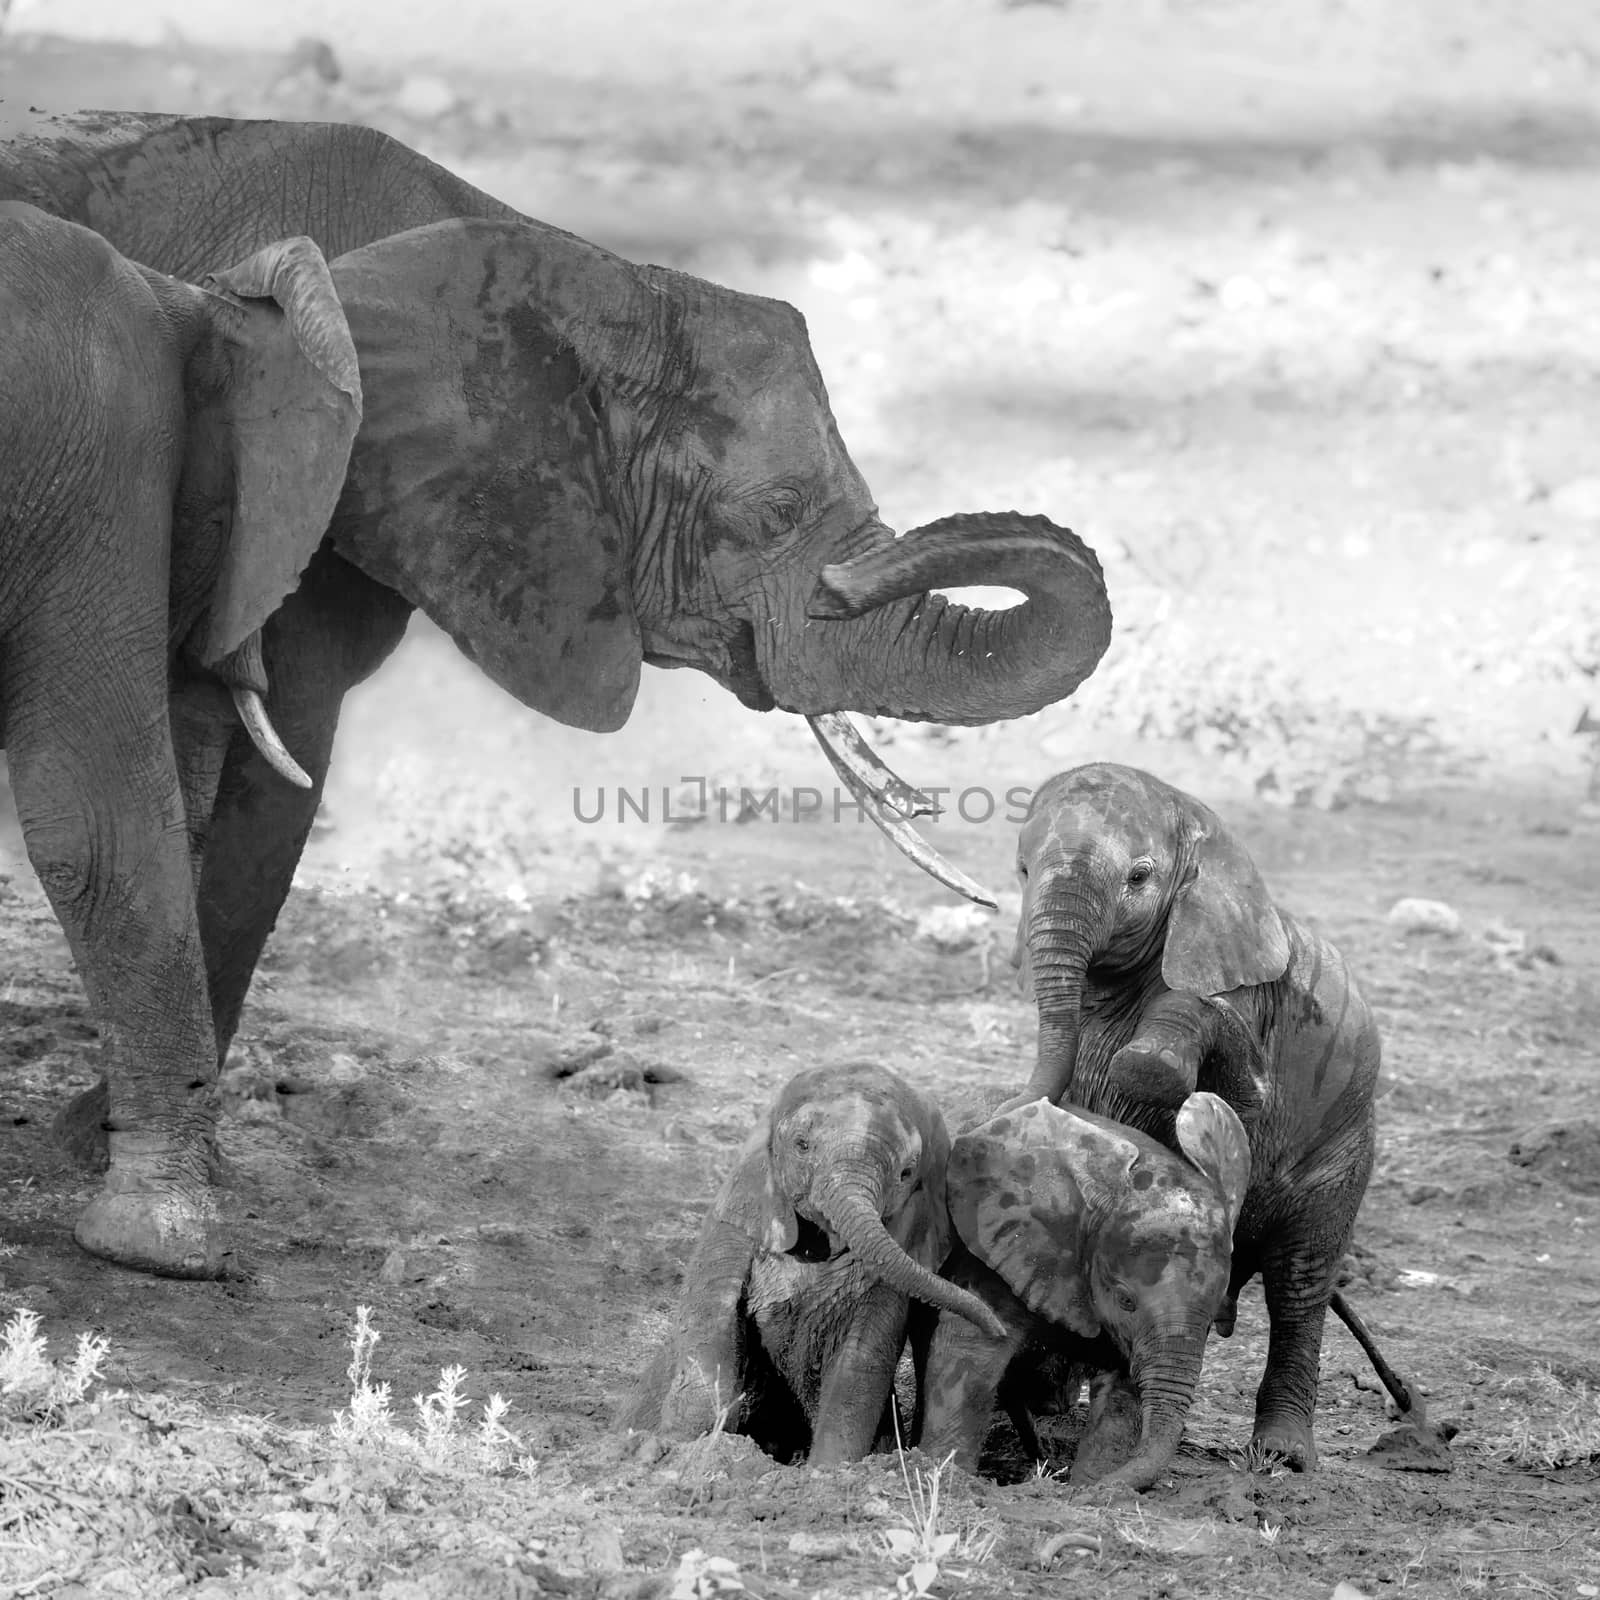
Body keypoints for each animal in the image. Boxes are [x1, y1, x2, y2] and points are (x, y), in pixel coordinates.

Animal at [0, 116, 1113, 1273]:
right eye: (774, 514)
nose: (853, 582)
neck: (579, 274)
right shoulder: (319, 497)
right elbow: (251, 778)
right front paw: (115, 1155)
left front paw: (99, 1134)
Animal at [617, 1062, 1004, 1465]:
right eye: (802, 1146)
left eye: (906, 1174)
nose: (998, 1328)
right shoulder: (735, 1222)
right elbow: (712, 1323)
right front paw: (673, 1450)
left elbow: (861, 1360)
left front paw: (828, 1471)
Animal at [921, 1094, 1254, 1491]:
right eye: (1126, 1300)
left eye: (1211, 1321)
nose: (1062, 1484)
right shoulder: (1003, 1246)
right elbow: (971, 1353)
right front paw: (946, 1474)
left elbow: (1121, 1397)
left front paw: (1088, 1487)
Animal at [1017, 761, 1382, 1472]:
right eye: (1021, 870)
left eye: (1139, 877)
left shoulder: (1245, 1001)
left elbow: (1204, 1083)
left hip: (1348, 1149)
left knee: (1300, 1285)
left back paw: (1282, 1457)